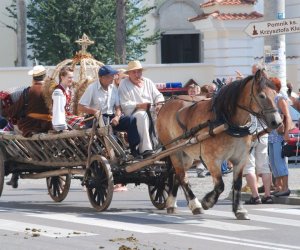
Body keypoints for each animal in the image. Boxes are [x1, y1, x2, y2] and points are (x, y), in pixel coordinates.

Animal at [156, 69, 282, 220]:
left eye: (275, 94)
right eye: (262, 95)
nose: (277, 122)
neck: (227, 121)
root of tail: (166, 104)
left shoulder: (240, 159)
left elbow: (237, 184)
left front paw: (239, 210)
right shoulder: (212, 160)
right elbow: (220, 185)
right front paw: (207, 202)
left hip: (186, 154)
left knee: (177, 175)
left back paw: (171, 203)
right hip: (174, 151)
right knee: (181, 176)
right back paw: (195, 204)